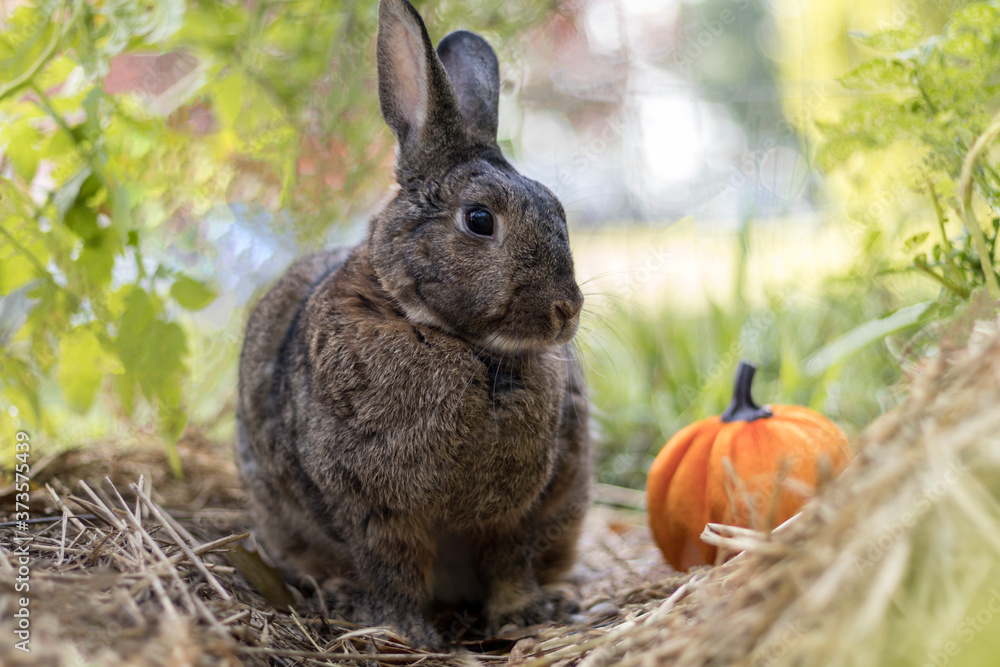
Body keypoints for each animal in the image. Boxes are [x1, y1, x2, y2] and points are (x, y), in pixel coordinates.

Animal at [236, 0, 591, 649]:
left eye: (557, 208)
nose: (565, 310)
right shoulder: (371, 508)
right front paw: (404, 634)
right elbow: (391, 568)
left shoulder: (518, 512)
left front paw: (523, 616)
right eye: (479, 220)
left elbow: (509, 561)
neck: (465, 346)